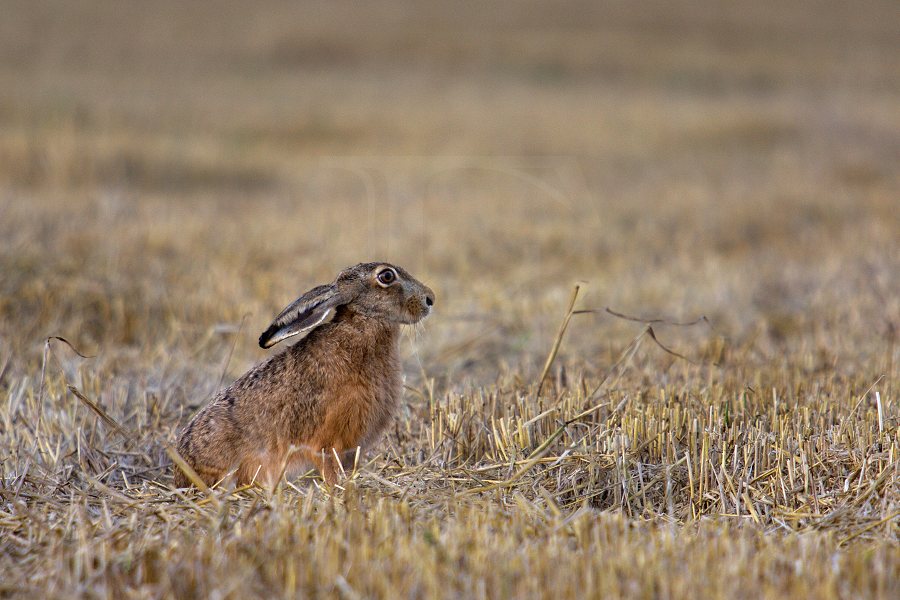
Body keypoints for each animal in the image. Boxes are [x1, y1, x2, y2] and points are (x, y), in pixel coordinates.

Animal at [173, 262, 434, 489]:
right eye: (386, 276)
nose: (430, 299)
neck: (364, 322)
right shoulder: (325, 443)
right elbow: (328, 468)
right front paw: (337, 489)